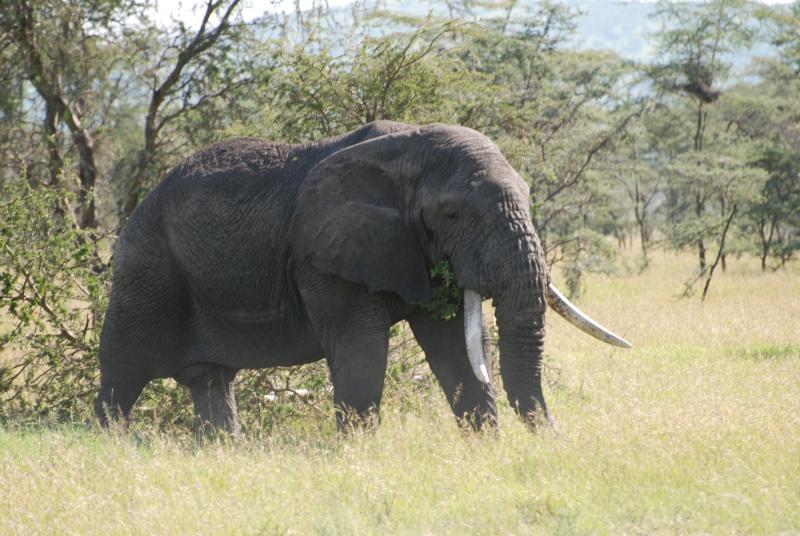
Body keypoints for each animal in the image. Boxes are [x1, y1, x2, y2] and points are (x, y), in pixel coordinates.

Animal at [95, 121, 632, 436]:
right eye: (451, 213)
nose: (555, 442)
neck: (406, 150)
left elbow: (456, 347)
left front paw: (486, 446)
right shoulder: (322, 254)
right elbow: (362, 348)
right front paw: (358, 456)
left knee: (210, 380)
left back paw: (224, 451)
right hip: (146, 270)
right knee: (122, 372)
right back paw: (111, 444)